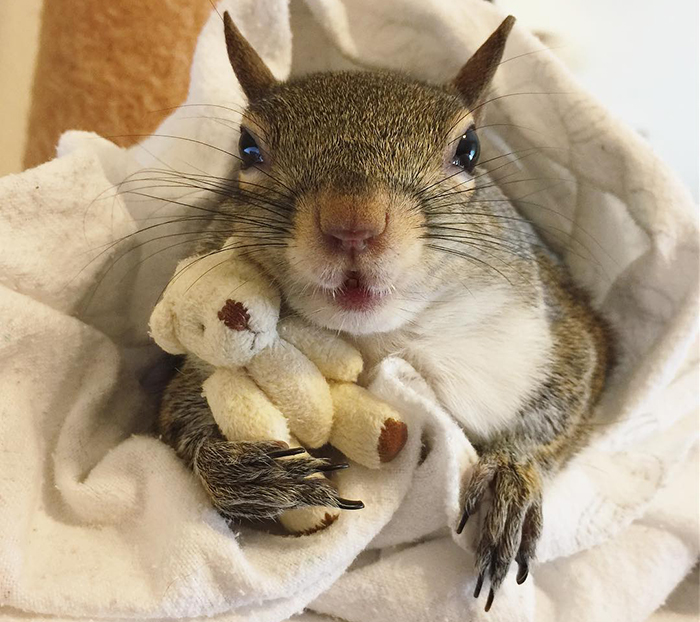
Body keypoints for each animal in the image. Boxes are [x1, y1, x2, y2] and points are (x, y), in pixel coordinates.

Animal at [157, 12, 613, 611]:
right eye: (247, 148)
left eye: (470, 148)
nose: (353, 222)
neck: (379, 342)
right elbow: (177, 425)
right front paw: (243, 473)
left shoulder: (563, 333)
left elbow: (565, 405)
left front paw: (510, 476)